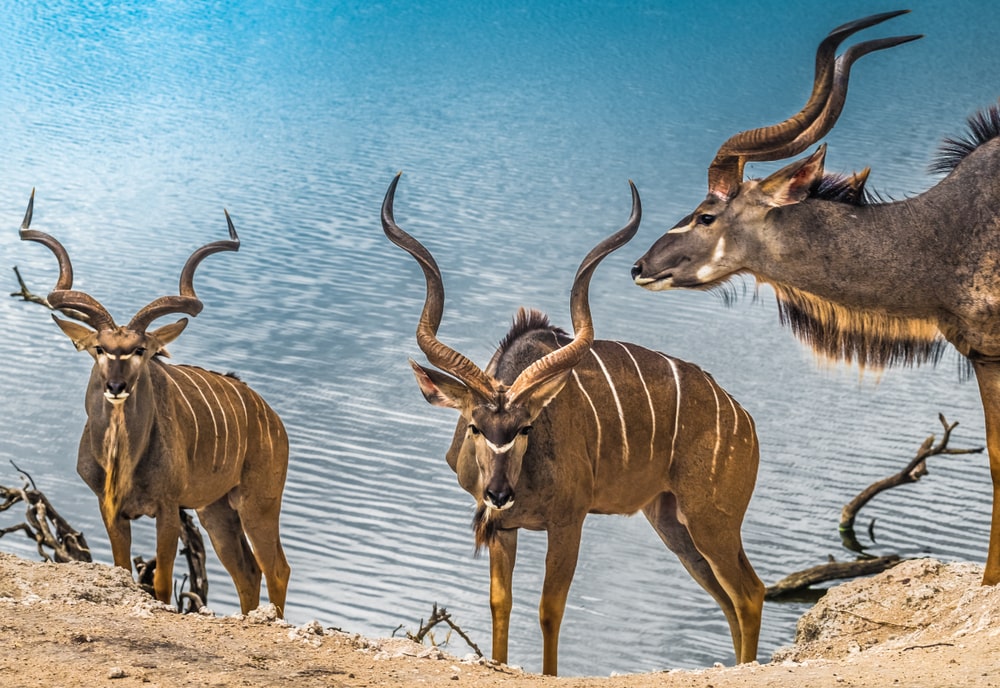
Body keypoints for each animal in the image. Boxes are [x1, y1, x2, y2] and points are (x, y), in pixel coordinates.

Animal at [19, 191, 291, 614]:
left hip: (257, 502)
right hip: (216, 510)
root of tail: (274, 420)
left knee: (276, 567)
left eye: (140, 350)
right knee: (247, 571)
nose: (116, 385)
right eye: (99, 348)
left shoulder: (168, 509)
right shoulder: (111, 509)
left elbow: (161, 583)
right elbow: (122, 569)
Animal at [382, 174, 764, 675]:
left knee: (749, 594)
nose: (498, 494)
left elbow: (550, 608)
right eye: (474, 427)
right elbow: (500, 604)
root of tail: (745, 422)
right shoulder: (504, 530)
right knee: (729, 600)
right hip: (673, 524)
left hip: (710, 521)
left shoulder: (569, 522)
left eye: (526, 428)